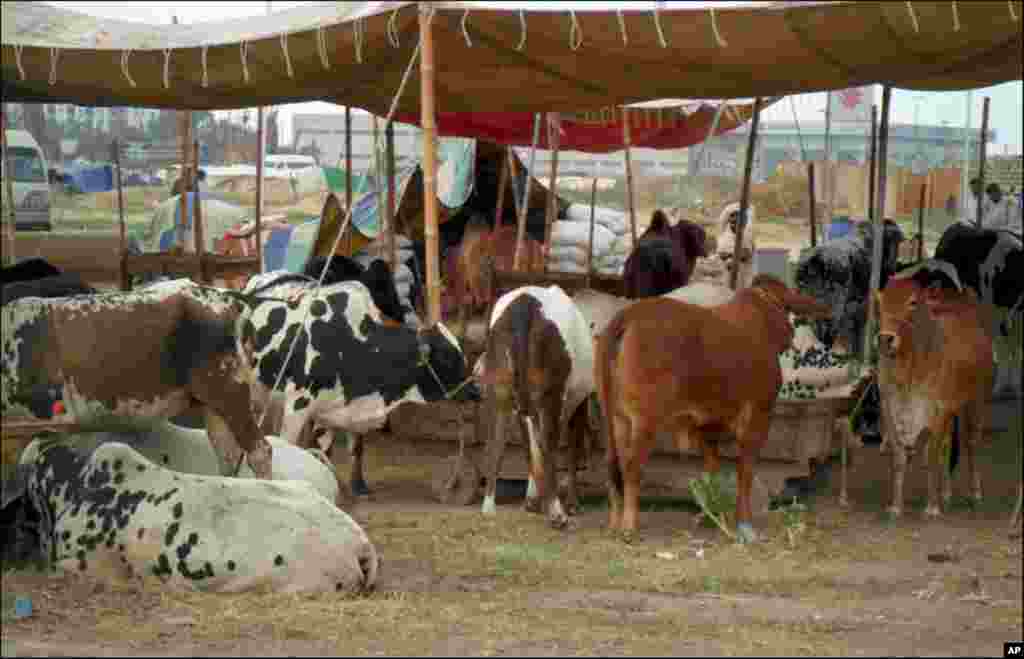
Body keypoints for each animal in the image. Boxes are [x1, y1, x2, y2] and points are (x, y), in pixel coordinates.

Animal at [238, 272, 479, 495]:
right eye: (447, 357)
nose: (475, 392)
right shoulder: (298, 405)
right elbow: (291, 445)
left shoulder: (336, 411)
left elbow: (347, 450)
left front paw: (357, 486)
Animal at [477, 286, 598, 528]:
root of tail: (525, 303)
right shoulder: (578, 403)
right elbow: (571, 451)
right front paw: (571, 504)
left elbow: (530, 447)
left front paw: (533, 500)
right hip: (551, 393)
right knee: (548, 444)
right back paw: (557, 513)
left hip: (500, 390)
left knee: (496, 442)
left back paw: (488, 508)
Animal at [598, 276, 827, 544]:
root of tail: (628, 314)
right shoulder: (758, 416)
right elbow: (745, 472)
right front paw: (744, 524)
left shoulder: (707, 426)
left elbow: (711, 471)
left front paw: (711, 517)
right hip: (645, 420)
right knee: (632, 467)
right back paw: (628, 527)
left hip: (615, 418)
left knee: (615, 465)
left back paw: (614, 523)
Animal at [876, 259, 995, 517]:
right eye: (879, 302)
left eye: (912, 302)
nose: (885, 339)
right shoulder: (890, 407)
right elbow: (899, 457)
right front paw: (896, 507)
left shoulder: (937, 409)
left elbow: (930, 456)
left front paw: (931, 508)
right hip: (953, 410)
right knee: (949, 445)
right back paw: (946, 493)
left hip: (977, 400)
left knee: (971, 443)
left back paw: (975, 493)